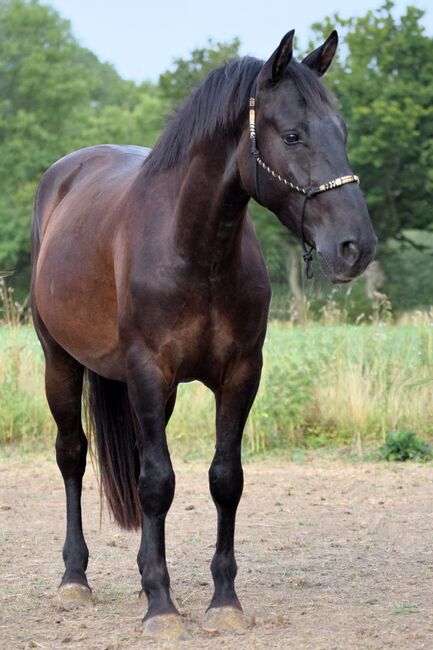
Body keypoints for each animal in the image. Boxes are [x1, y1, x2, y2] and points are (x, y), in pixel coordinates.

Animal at [31, 30, 374, 636]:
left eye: (343, 131)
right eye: (292, 134)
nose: (356, 247)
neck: (194, 248)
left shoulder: (241, 374)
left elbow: (223, 479)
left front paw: (223, 601)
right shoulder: (149, 372)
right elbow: (157, 482)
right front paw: (162, 608)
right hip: (61, 363)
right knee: (73, 455)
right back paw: (75, 579)